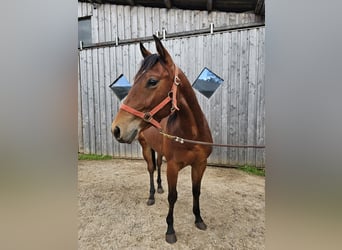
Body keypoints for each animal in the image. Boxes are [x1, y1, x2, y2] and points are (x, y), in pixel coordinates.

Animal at [112, 35, 212, 244]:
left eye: (152, 81)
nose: (116, 129)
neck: (192, 134)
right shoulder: (173, 167)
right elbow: (173, 197)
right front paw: (170, 230)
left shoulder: (200, 164)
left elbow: (196, 191)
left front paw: (199, 219)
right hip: (145, 148)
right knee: (151, 169)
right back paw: (151, 195)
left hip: (158, 151)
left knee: (157, 166)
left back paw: (158, 188)